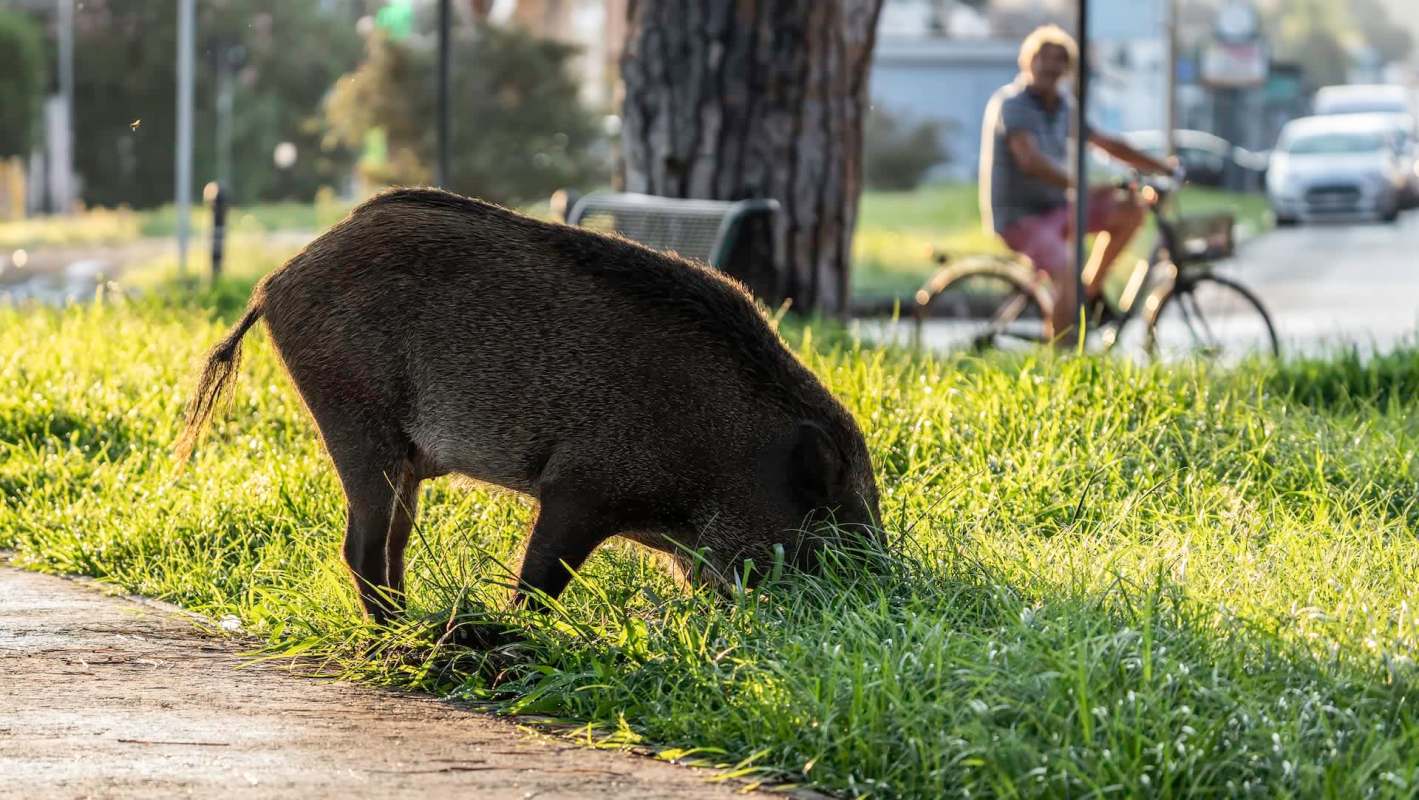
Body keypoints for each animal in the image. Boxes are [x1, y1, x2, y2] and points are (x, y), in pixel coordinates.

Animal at [175, 188, 880, 636]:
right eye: (831, 513)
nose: (880, 593)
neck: (730, 448)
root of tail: (273, 283)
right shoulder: (581, 485)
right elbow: (540, 579)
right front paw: (520, 636)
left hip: (397, 453)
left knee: (392, 540)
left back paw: (416, 625)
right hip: (353, 416)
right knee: (362, 545)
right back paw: (399, 637)